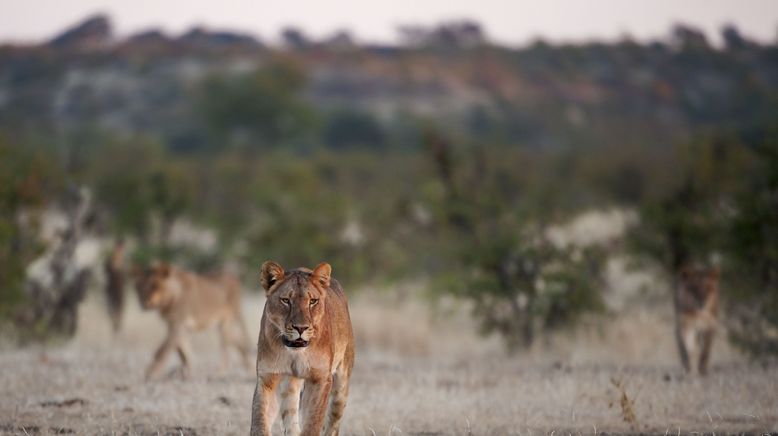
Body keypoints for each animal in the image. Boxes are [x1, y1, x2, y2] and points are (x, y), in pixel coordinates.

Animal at [252, 262, 354, 436]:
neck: (295, 353)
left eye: (313, 301)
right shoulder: (267, 378)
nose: (301, 328)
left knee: (333, 423)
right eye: (286, 300)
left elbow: (313, 423)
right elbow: (259, 420)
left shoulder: (320, 378)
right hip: (289, 386)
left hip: (341, 385)